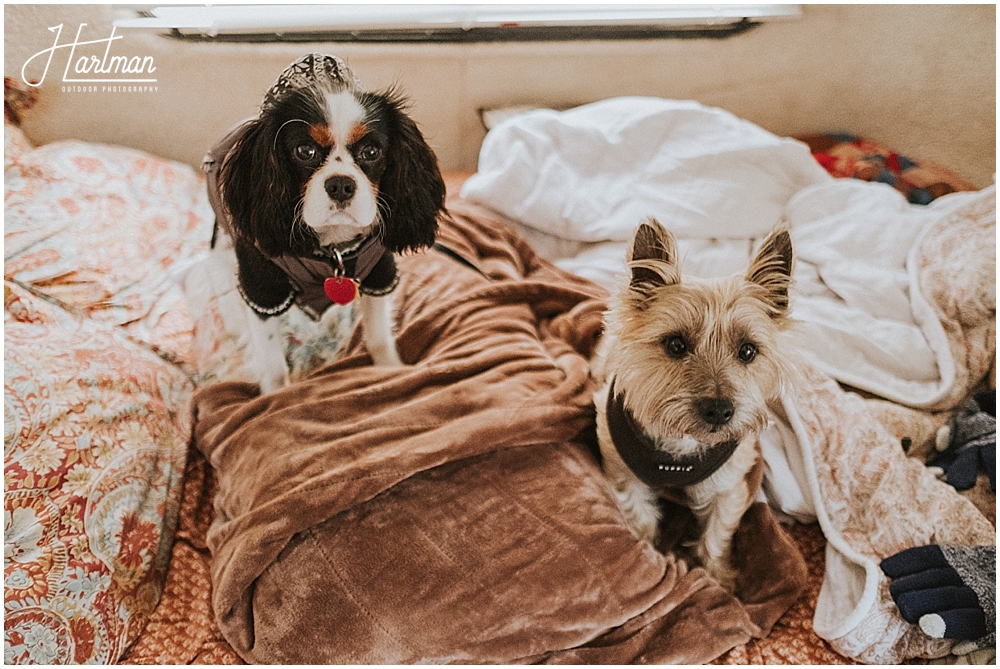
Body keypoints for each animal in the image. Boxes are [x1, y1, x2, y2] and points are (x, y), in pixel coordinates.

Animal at [205, 53, 448, 392]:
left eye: (371, 151)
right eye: (305, 151)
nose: (341, 185)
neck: (332, 249)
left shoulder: (379, 272)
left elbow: (378, 336)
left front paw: (391, 370)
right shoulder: (261, 286)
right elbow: (272, 360)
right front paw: (275, 397)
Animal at [592, 219, 796, 588]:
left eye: (748, 350)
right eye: (675, 345)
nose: (719, 410)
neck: (681, 445)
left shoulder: (728, 488)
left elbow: (715, 536)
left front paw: (720, 579)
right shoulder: (625, 476)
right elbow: (641, 518)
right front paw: (650, 555)